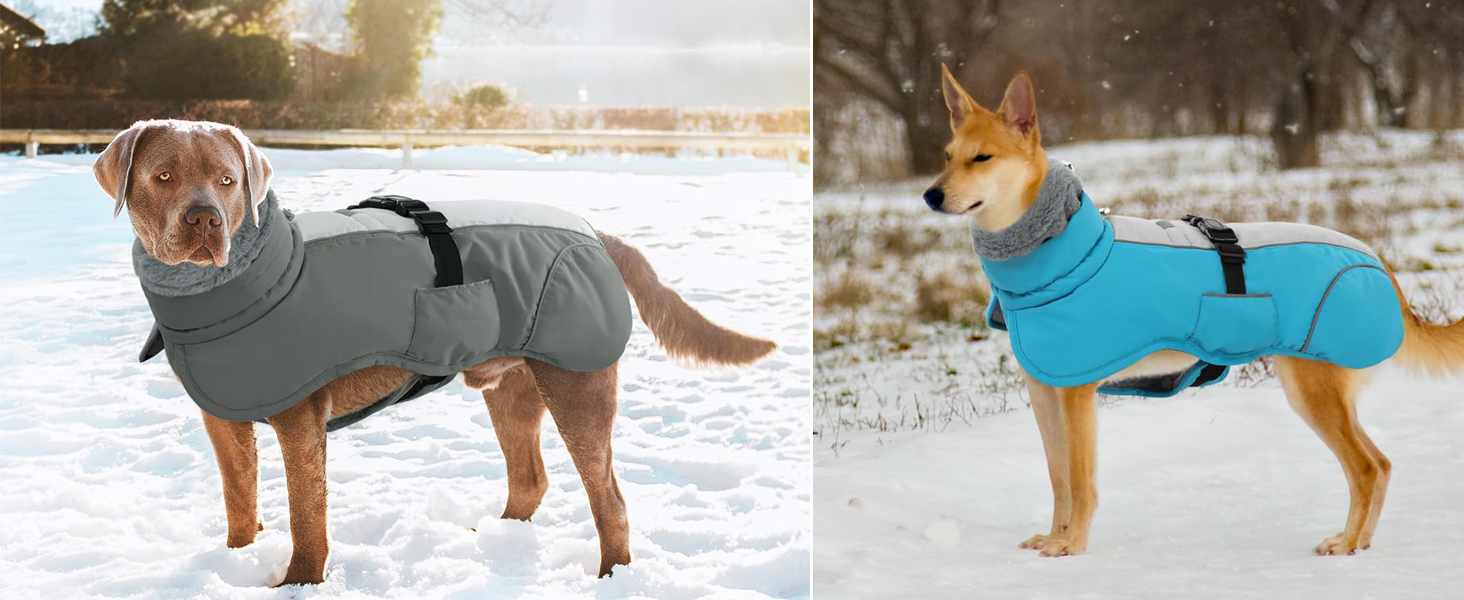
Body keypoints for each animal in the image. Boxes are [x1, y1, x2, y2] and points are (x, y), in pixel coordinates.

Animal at [91, 119, 778, 588]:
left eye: (228, 181)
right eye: (163, 177)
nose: (205, 219)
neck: (227, 291)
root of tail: (596, 233)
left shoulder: (300, 420)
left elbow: (306, 514)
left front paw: (299, 584)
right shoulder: (224, 419)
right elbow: (240, 500)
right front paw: (232, 564)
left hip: (577, 383)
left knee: (609, 497)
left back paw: (611, 575)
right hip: (512, 386)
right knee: (530, 478)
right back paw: (497, 542)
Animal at [931, 68, 1464, 559]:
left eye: (983, 157)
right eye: (947, 156)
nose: (930, 195)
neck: (1060, 250)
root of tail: (1378, 260)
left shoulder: (1076, 394)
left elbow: (1080, 481)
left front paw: (1072, 544)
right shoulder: (1045, 392)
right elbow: (1058, 476)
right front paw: (1055, 536)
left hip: (1314, 391)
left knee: (1366, 468)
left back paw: (1346, 543)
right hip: (1322, 394)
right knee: (1382, 464)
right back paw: (1361, 541)